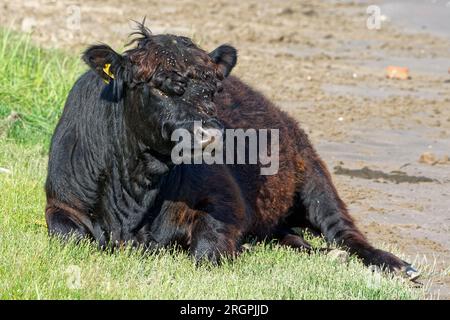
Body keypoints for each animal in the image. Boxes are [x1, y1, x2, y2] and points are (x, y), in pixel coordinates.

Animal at [44, 22, 418, 278]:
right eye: (159, 88)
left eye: (214, 90)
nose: (211, 133)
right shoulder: (60, 203)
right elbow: (71, 236)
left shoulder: (227, 202)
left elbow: (206, 254)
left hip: (315, 176)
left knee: (344, 232)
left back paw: (395, 265)